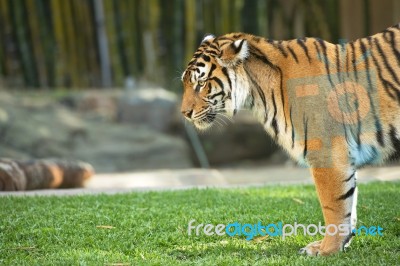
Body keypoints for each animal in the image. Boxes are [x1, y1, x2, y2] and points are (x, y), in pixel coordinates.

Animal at [180, 23, 400, 256]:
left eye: (201, 83)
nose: (184, 113)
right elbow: (349, 202)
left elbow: (334, 205)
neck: (258, 94)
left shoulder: (327, 153)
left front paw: (327, 250)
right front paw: (337, 245)